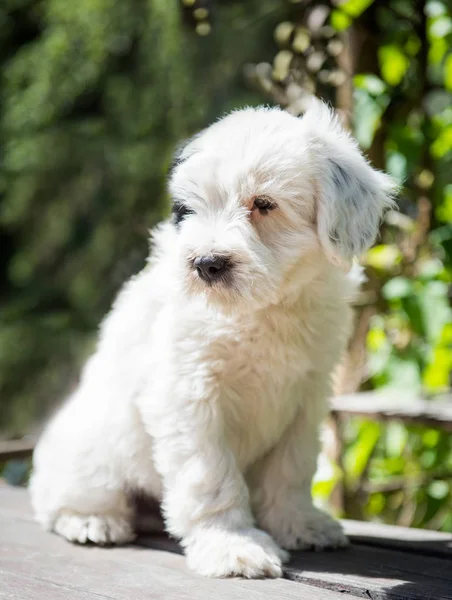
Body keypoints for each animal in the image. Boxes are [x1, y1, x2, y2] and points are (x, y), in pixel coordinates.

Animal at [30, 101, 396, 580]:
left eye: (264, 204)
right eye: (192, 208)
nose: (206, 263)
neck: (263, 308)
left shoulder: (307, 394)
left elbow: (292, 467)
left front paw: (299, 523)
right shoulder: (190, 395)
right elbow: (211, 477)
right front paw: (233, 546)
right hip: (92, 449)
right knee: (60, 497)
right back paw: (92, 520)